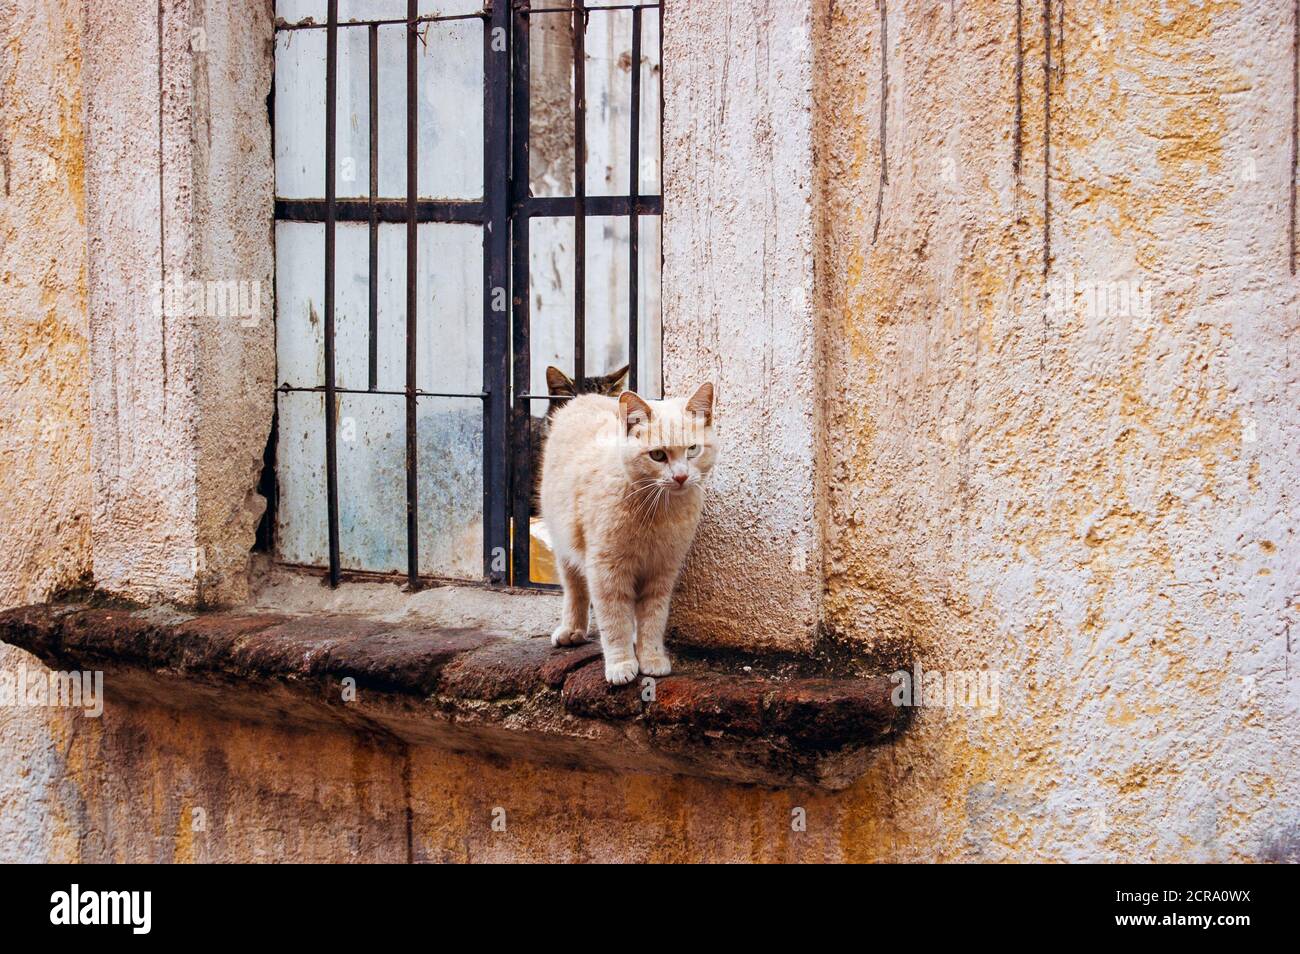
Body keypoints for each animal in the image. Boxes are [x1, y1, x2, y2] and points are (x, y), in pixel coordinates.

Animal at [540, 384, 722, 686]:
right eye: (658, 455)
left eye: (693, 450)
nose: (681, 477)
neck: (658, 511)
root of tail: (584, 397)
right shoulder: (607, 572)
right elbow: (615, 622)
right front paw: (621, 663)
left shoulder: (662, 571)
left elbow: (652, 618)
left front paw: (651, 657)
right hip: (563, 543)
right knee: (575, 588)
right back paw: (572, 629)